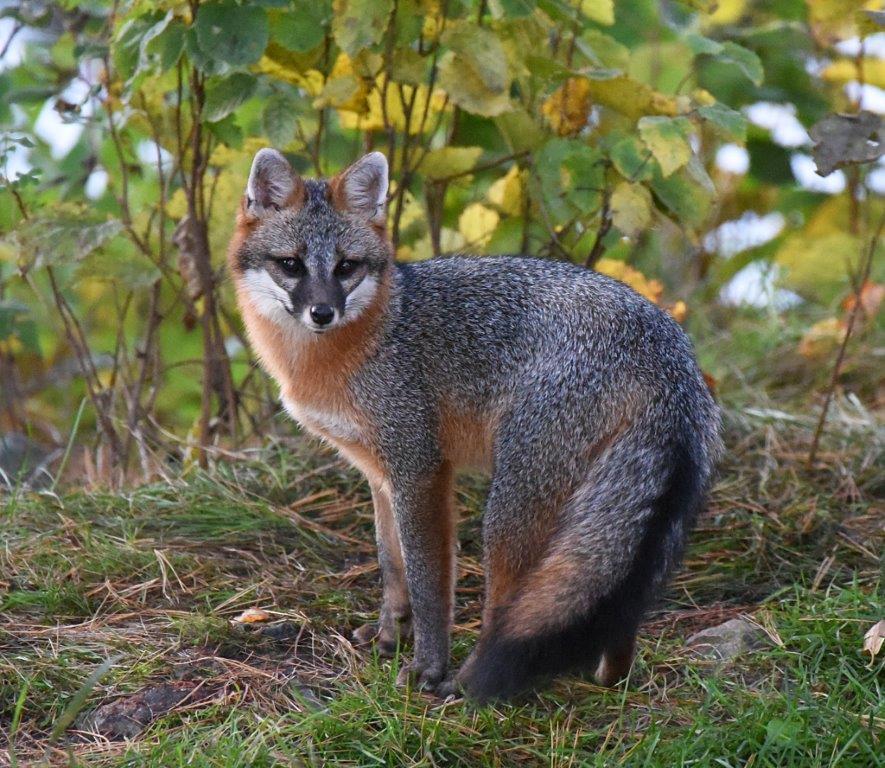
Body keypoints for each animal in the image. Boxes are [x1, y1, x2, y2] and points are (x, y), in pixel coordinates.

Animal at [227, 148, 722, 702]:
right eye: (291, 264)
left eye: (346, 267)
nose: (322, 312)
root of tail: (671, 357)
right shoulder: (380, 473)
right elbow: (391, 565)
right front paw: (387, 635)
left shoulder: (421, 471)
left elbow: (427, 583)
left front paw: (425, 667)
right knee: (618, 611)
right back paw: (610, 679)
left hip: (507, 514)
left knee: (505, 610)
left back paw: (466, 685)